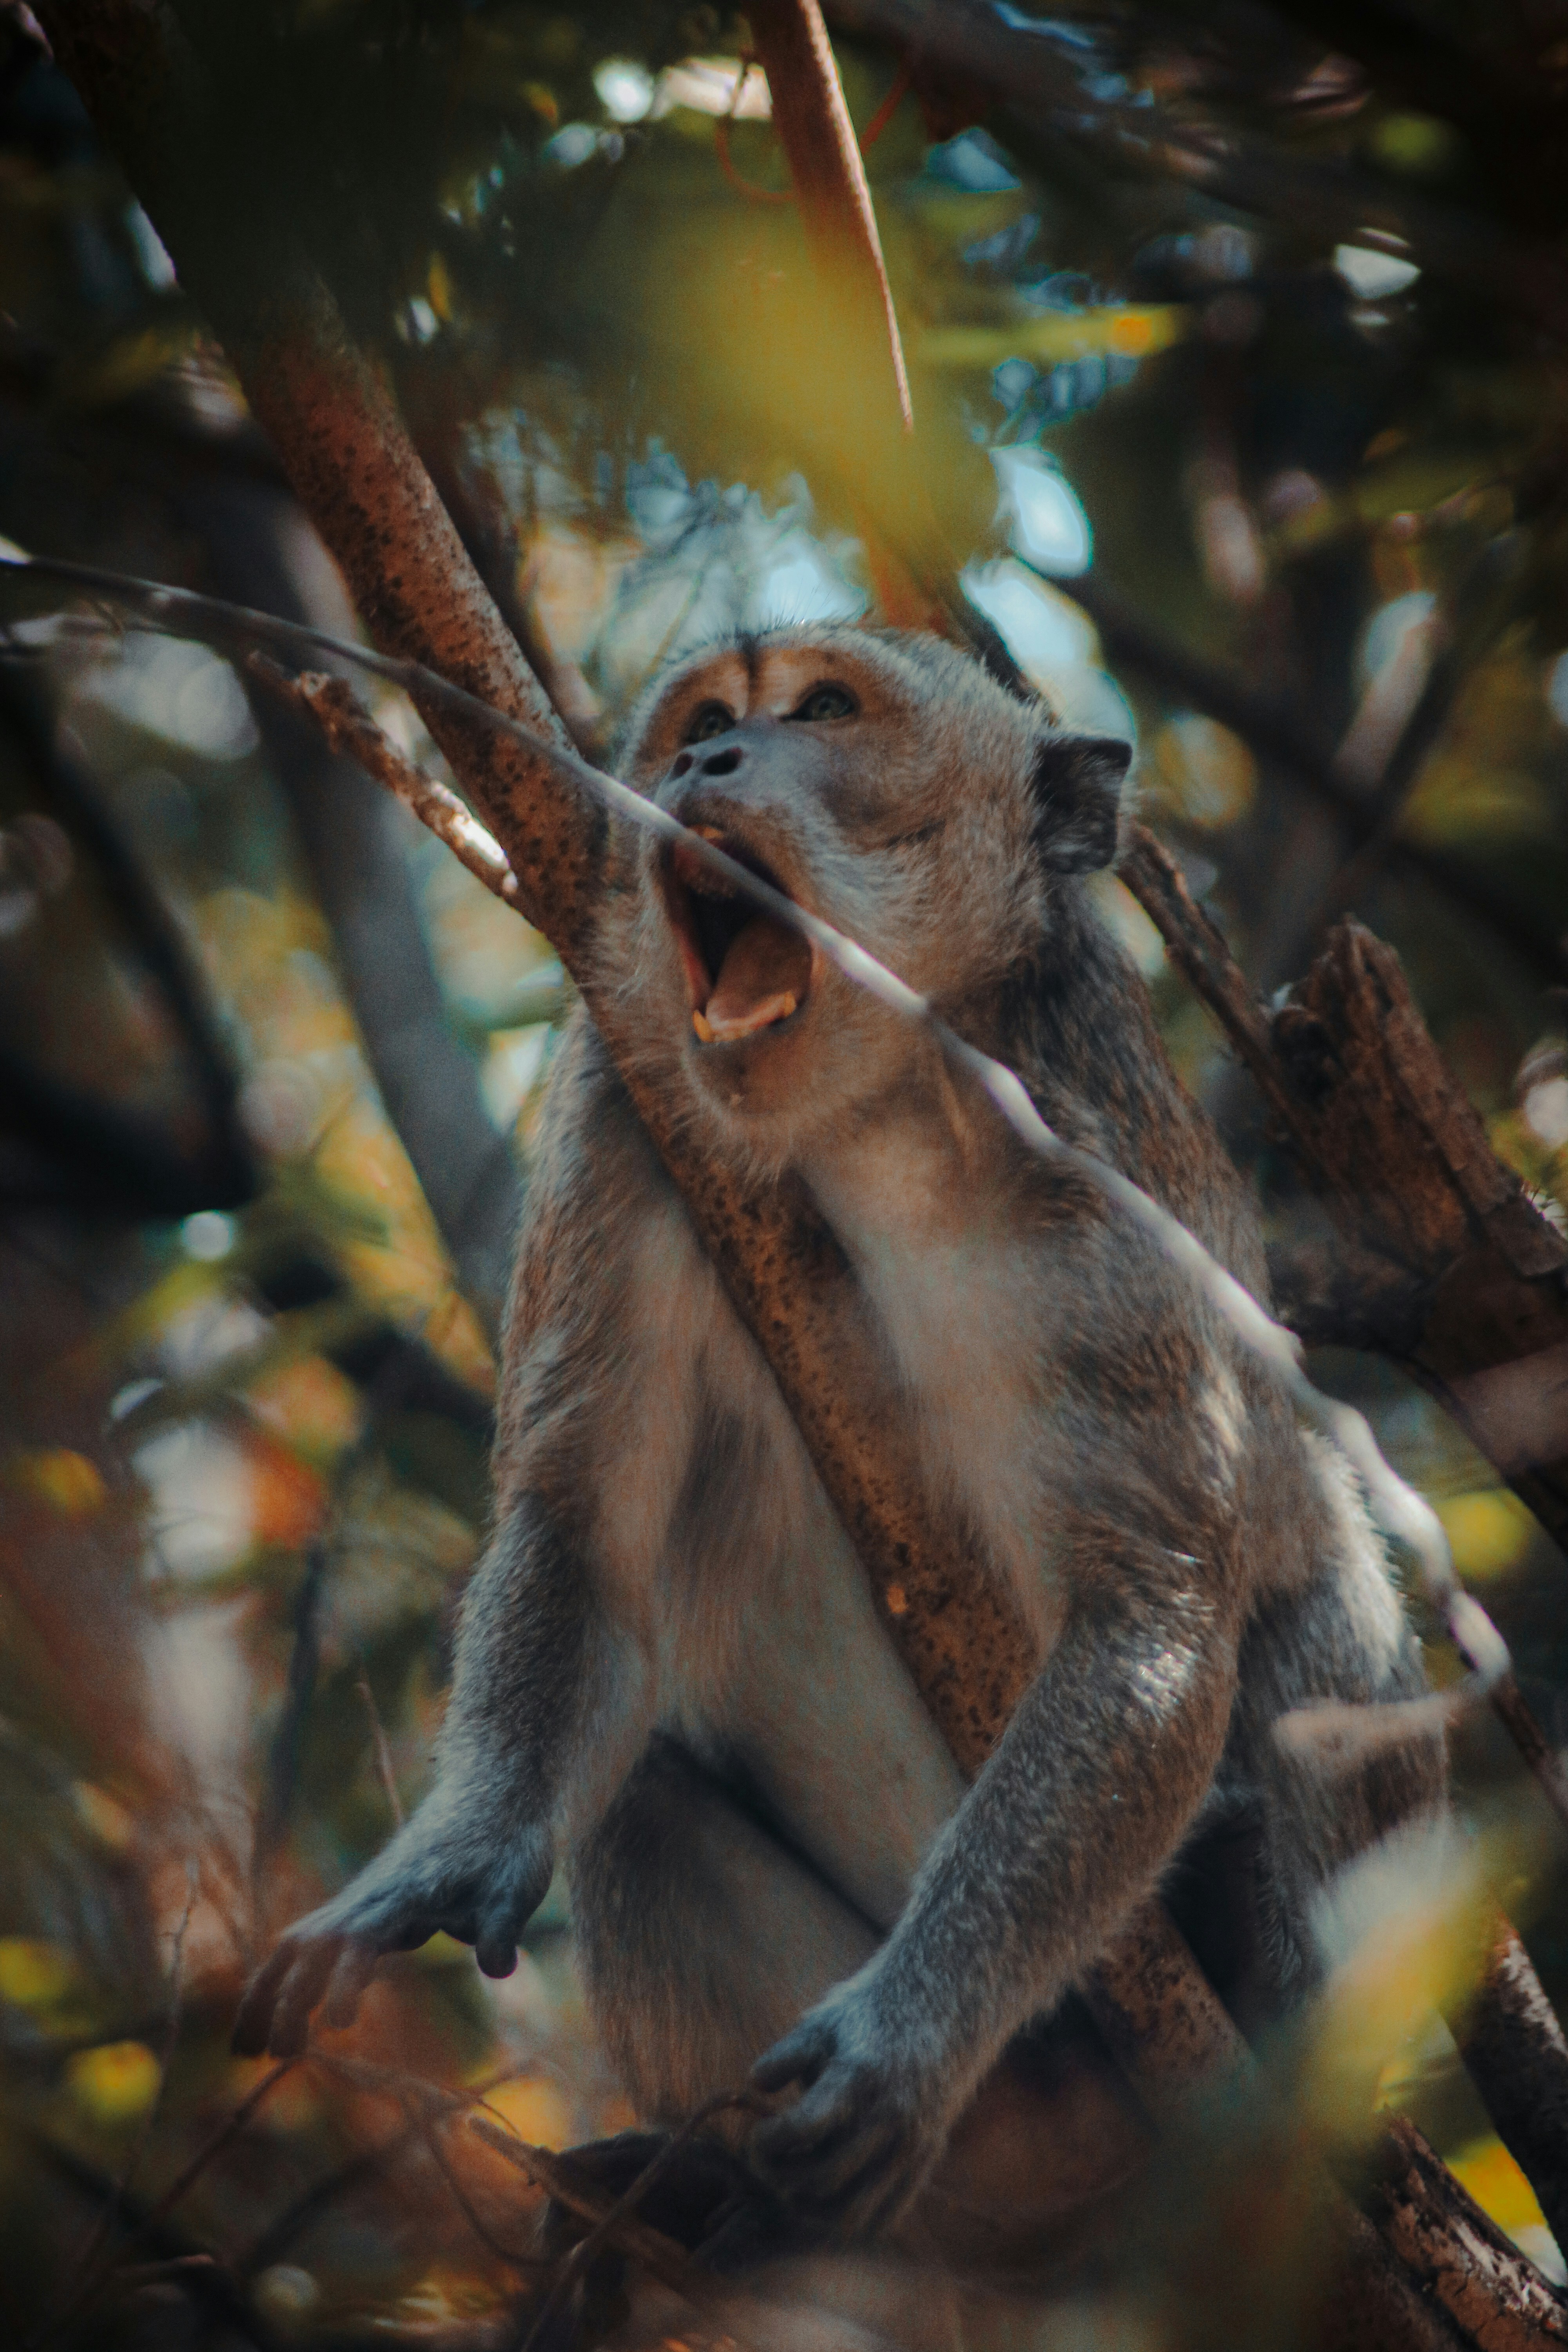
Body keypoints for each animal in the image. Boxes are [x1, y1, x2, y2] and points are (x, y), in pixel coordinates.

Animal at [234, 624, 1444, 2238]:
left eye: (820, 711)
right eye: (700, 717)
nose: (705, 760)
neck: (870, 1119)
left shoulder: (1094, 1194)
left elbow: (1152, 1606)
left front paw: (910, 2028)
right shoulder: (624, 1115)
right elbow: (579, 1527)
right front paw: (448, 1853)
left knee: (1331, 1640)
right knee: (639, 1807)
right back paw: (719, 2183)